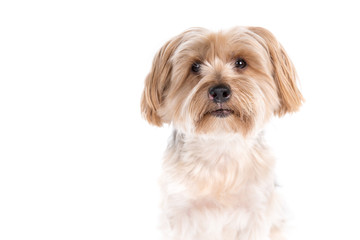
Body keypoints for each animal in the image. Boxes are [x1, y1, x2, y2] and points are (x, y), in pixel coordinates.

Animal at [139, 26, 302, 240]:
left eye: (241, 63)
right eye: (195, 66)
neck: (220, 144)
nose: (219, 91)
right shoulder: (181, 212)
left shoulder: (255, 212)